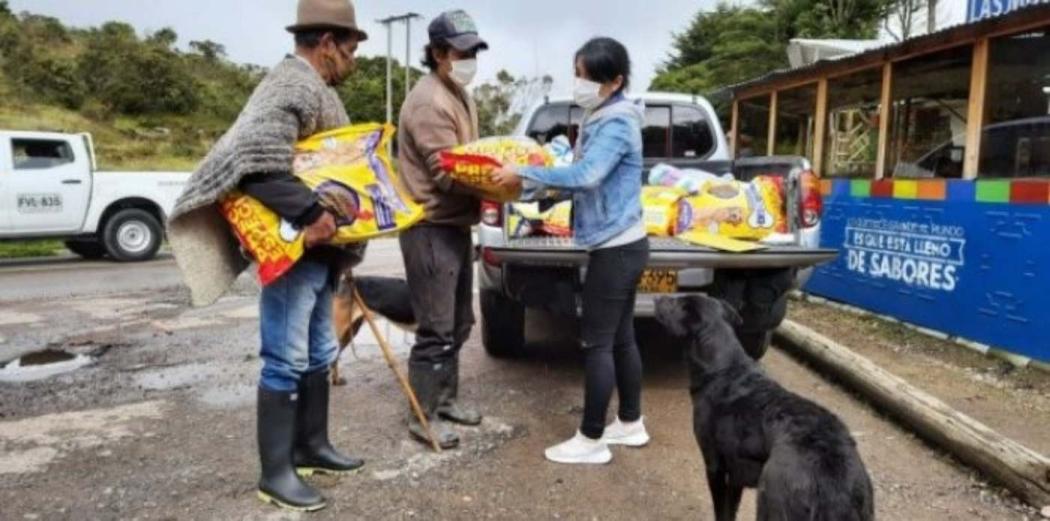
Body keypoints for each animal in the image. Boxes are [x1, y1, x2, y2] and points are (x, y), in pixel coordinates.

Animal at [655, 294, 869, 521]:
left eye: (676, 301)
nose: (657, 298)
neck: (724, 367)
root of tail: (832, 477)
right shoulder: (736, 474)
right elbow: (730, 511)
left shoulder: (714, 467)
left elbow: (721, 511)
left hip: (770, 500)